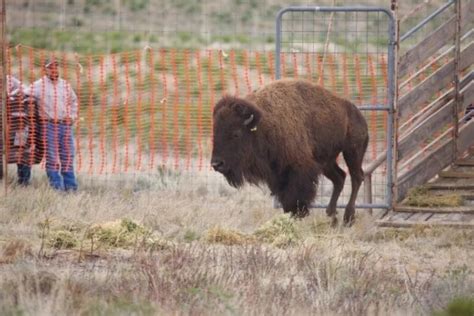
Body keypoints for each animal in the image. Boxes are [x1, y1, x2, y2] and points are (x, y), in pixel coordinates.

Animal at [211, 79, 370, 227]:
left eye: (236, 134)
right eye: (215, 132)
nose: (216, 163)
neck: (263, 126)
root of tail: (357, 113)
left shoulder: (299, 170)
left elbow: (295, 197)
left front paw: (297, 216)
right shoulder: (277, 174)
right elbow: (286, 198)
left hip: (352, 152)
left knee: (356, 177)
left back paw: (348, 218)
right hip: (326, 162)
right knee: (340, 178)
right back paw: (331, 216)